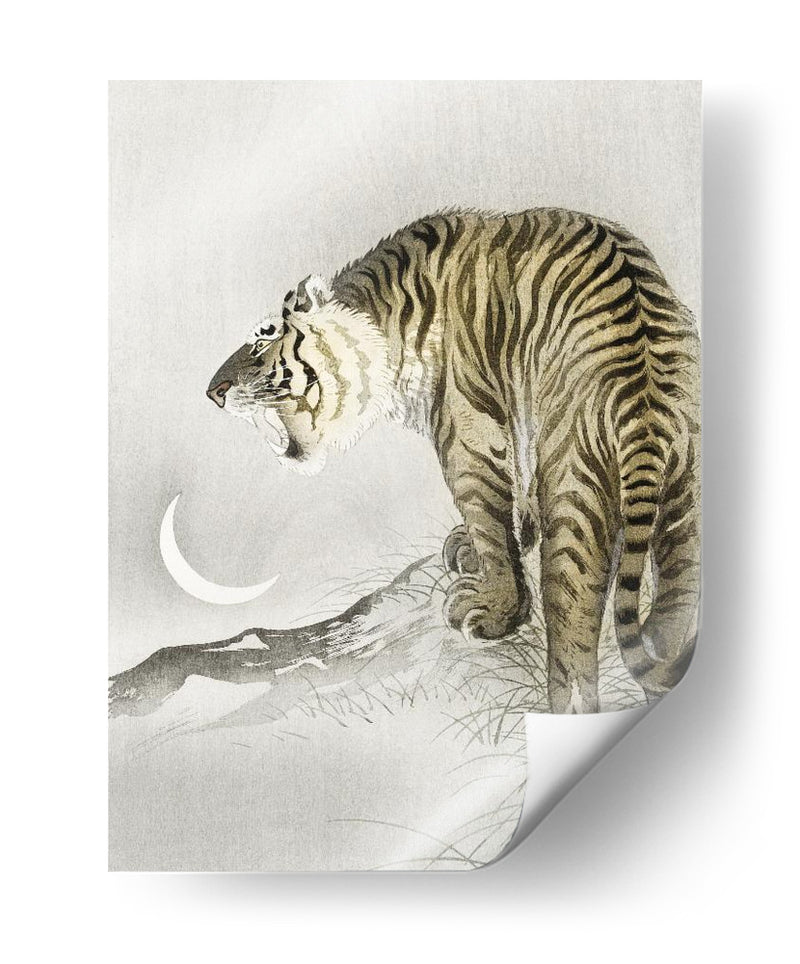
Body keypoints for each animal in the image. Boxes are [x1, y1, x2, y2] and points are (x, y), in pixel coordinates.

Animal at [207, 208, 701, 714]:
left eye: (262, 341)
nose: (213, 391)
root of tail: (644, 389)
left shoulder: (466, 432)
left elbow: (488, 519)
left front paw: (494, 610)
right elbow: (516, 496)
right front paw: (483, 545)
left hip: (574, 480)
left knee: (574, 615)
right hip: (685, 492)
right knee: (673, 608)